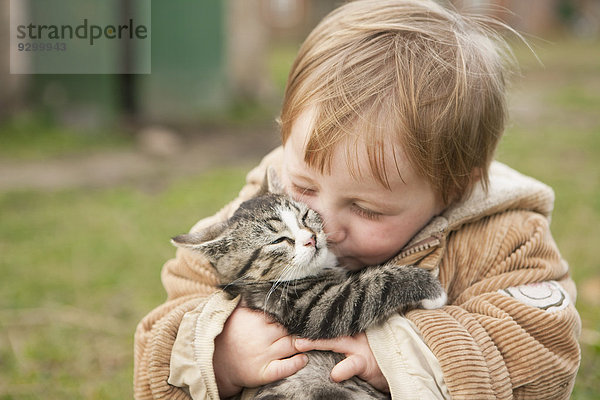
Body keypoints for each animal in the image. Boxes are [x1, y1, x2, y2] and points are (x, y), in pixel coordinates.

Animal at [172, 173, 446, 398]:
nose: (311, 239)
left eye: (305, 217)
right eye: (279, 240)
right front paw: (431, 289)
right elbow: (372, 288)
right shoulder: (309, 306)